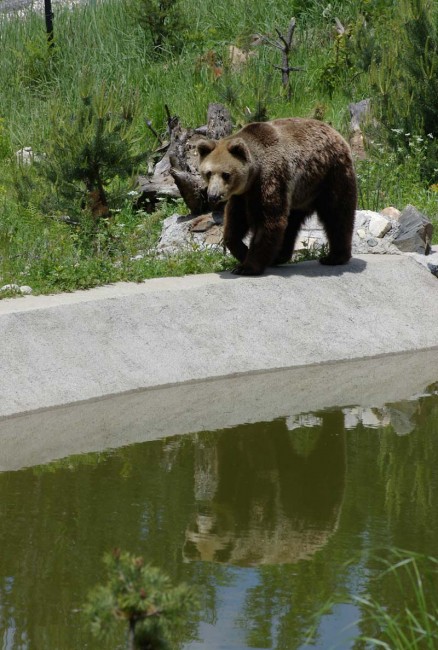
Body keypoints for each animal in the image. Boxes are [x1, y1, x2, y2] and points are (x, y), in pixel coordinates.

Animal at [197, 117, 358, 274]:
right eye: (208, 173)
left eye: (226, 174)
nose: (213, 196)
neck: (254, 174)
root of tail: (336, 133)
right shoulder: (243, 194)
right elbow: (235, 220)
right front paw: (242, 251)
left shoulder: (269, 180)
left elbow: (268, 221)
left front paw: (246, 266)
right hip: (300, 195)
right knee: (291, 223)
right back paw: (280, 256)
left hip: (329, 176)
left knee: (337, 213)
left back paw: (334, 257)